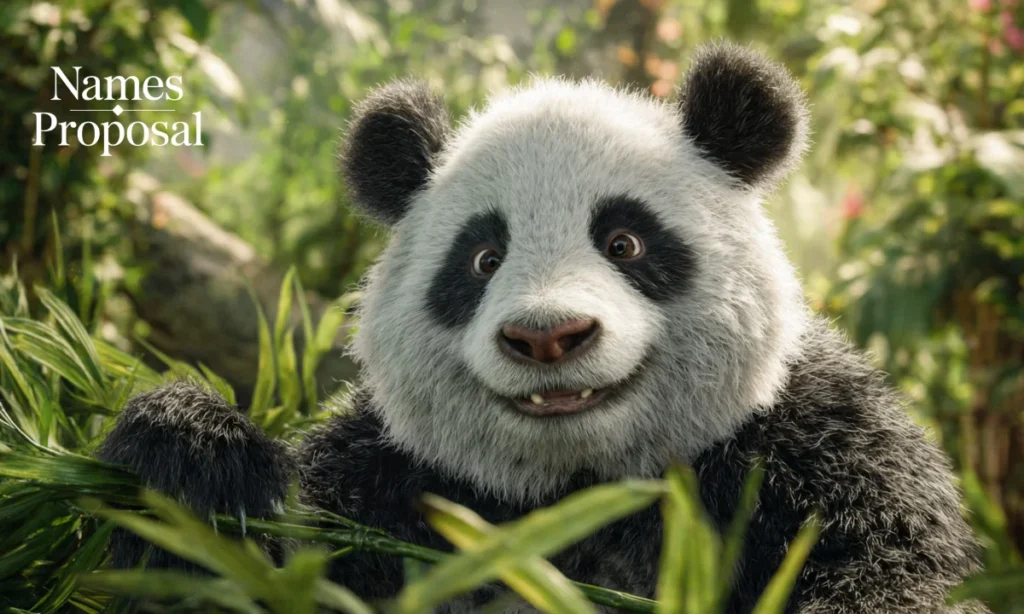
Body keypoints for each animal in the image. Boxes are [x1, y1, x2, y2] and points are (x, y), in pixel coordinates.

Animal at [97, 43, 986, 613]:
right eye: (483, 258)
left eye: (625, 242)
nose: (548, 337)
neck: (583, 489)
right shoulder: (388, 488)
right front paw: (192, 456)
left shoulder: (811, 449)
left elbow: (889, 564)